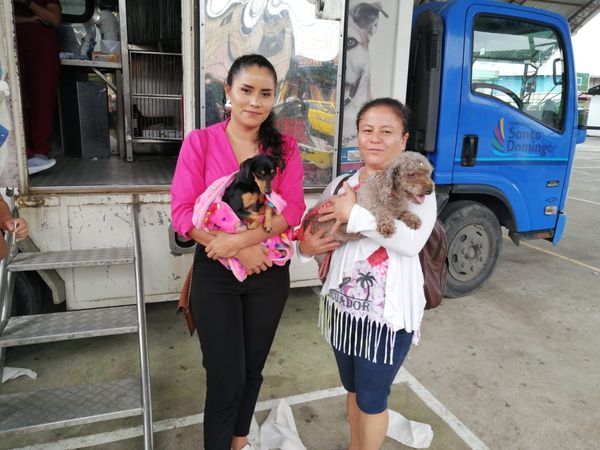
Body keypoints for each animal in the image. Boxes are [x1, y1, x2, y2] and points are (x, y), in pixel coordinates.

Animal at [302, 152, 435, 244]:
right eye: (411, 174)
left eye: (428, 173)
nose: (430, 189)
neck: (393, 197)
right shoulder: (367, 202)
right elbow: (381, 210)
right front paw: (387, 226)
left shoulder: (398, 210)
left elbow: (404, 212)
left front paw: (413, 219)